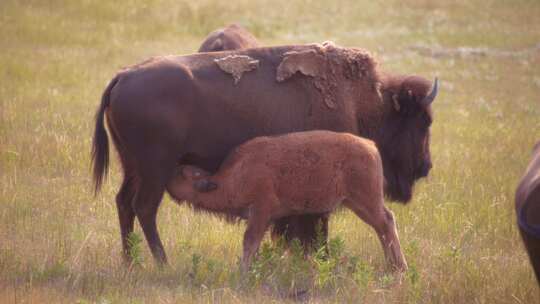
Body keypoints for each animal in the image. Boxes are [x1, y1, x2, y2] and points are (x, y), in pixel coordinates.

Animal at [92, 41, 438, 264]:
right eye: (423, 121)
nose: (426, 166)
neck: (363, 100)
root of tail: (123, 76)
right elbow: (313, 225)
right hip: (155, 168)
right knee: (144, 207)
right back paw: (162, 262)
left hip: (132, 167)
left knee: (124, 203)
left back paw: (131, 261)